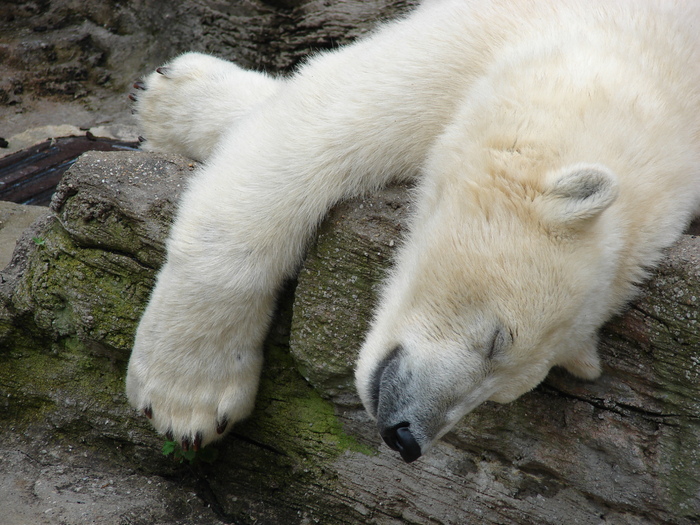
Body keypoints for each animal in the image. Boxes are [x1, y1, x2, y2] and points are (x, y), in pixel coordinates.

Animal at [126, 0, 700, 460]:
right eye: (498, 339)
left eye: (505, 393)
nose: (407, 438)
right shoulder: (489, 31)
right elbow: (325, 125)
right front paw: (189, 402)